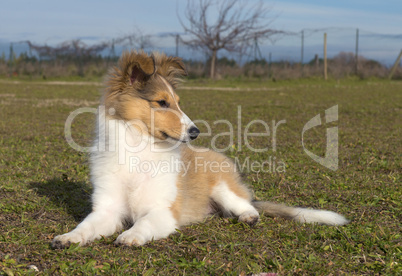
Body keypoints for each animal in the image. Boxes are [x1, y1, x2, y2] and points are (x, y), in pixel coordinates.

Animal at [52, 51, 348, 248]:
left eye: (177, 101)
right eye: (161, 102)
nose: (195, 132)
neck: (139, 149)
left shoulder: (163, 211)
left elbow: (143, 223)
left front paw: (130, 236)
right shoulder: (107, 209)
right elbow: (86, 225)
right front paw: (68, 237)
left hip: (223, 188)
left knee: (248, 206)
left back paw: (248, 217)